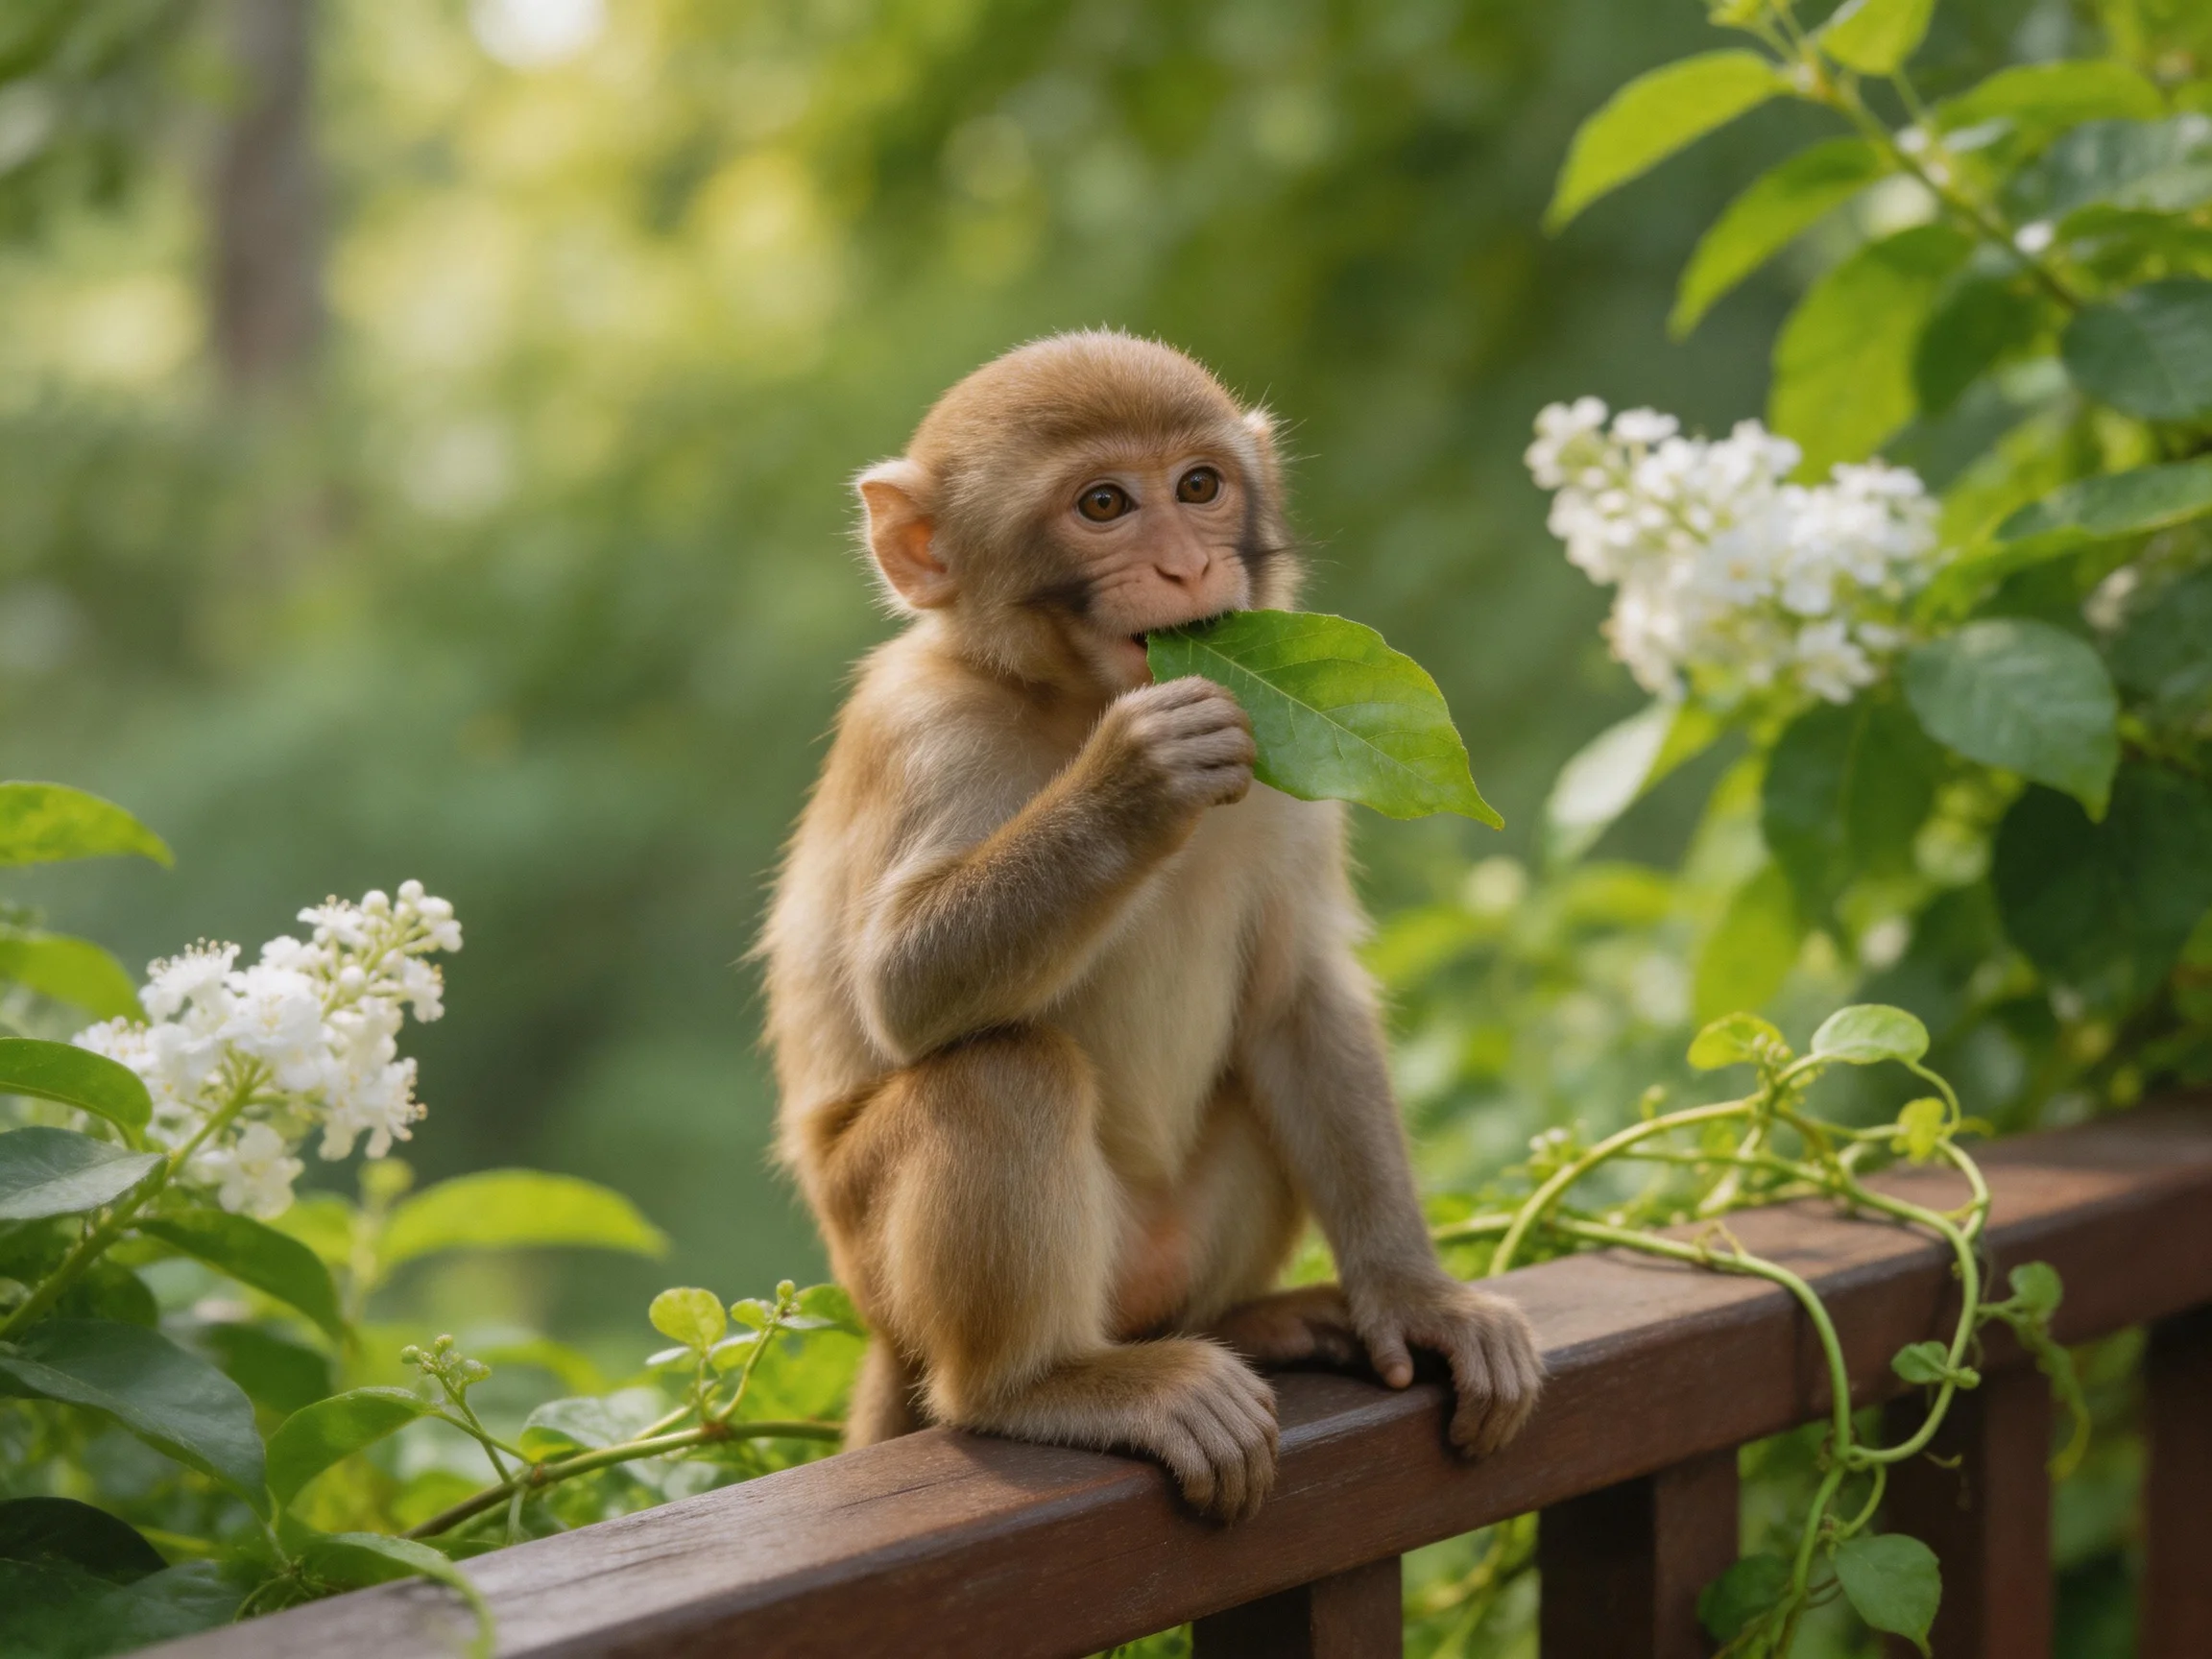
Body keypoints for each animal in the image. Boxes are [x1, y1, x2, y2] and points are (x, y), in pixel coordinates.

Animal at [759, 330, 1541, 1521]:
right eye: (1104, 504)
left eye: (1200, 488)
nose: (1183, 568)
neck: (1071, 699)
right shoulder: (922, 730)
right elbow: (902, 989)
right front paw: (1138, 781)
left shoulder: (1284, 774)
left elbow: (1298, 997)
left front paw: (1416, 1297)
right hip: (880, 1265)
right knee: (1001, 1071)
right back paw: (1042, 1384)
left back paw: (1249, 1322)